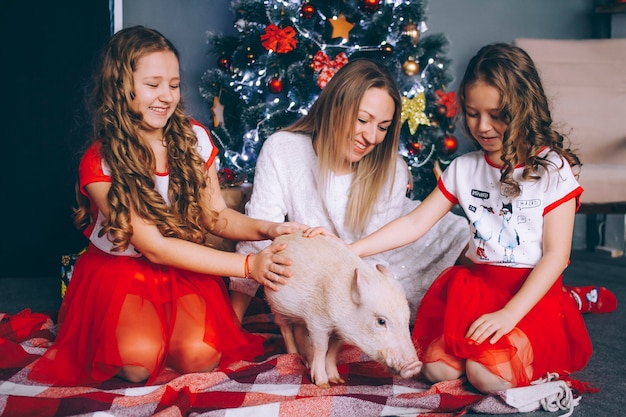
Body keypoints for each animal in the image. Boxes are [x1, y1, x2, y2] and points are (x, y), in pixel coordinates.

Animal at [264, 232, 420, 388]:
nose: (415, 366)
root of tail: (278, 240)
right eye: (381, 321)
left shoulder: (340, 331)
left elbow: (333, 350)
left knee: (299, 330)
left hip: (299, 317)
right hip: (275, 304)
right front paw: (323, 385)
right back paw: (293, 356)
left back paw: (307, 362)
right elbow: (321, 347)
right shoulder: (317, 321)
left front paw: (337, 380)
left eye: (407, 319)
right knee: (285, 329)